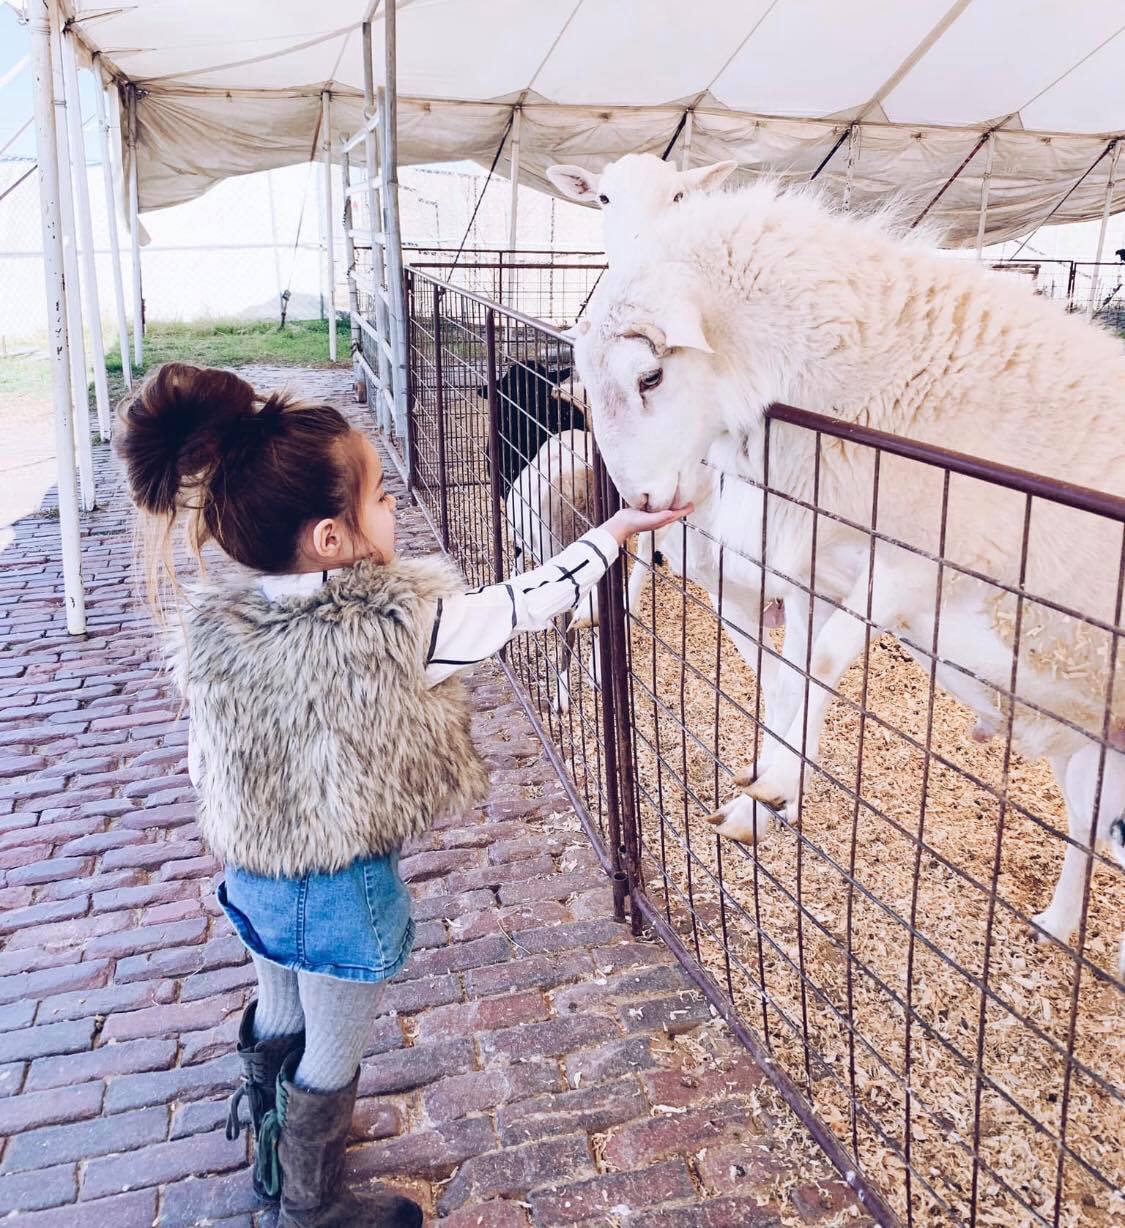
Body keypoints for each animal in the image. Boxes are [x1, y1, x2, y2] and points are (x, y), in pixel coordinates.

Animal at [574, 179, 1120, 967]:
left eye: (650, 375)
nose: (640, 505)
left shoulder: (924, 560)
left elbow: (826, 658)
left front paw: (775, 783)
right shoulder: (813, 567)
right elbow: (794, 673)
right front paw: (765, 790)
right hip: (1081, 750)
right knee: (1082, 832)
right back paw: (1057, 921)